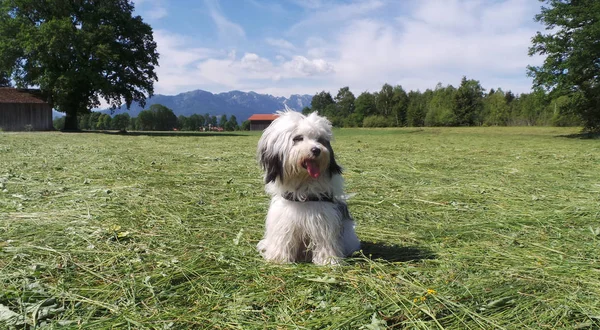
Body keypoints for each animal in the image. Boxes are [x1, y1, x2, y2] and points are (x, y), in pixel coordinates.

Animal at [254, 111, 358, 266]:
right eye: (298, 138)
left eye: (320, 140)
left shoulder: (323, 220)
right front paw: (278, 257)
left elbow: (325, 241)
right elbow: (283, 238)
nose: (316, 150)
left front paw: (328, 260)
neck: (303, 187)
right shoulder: (284, 221)